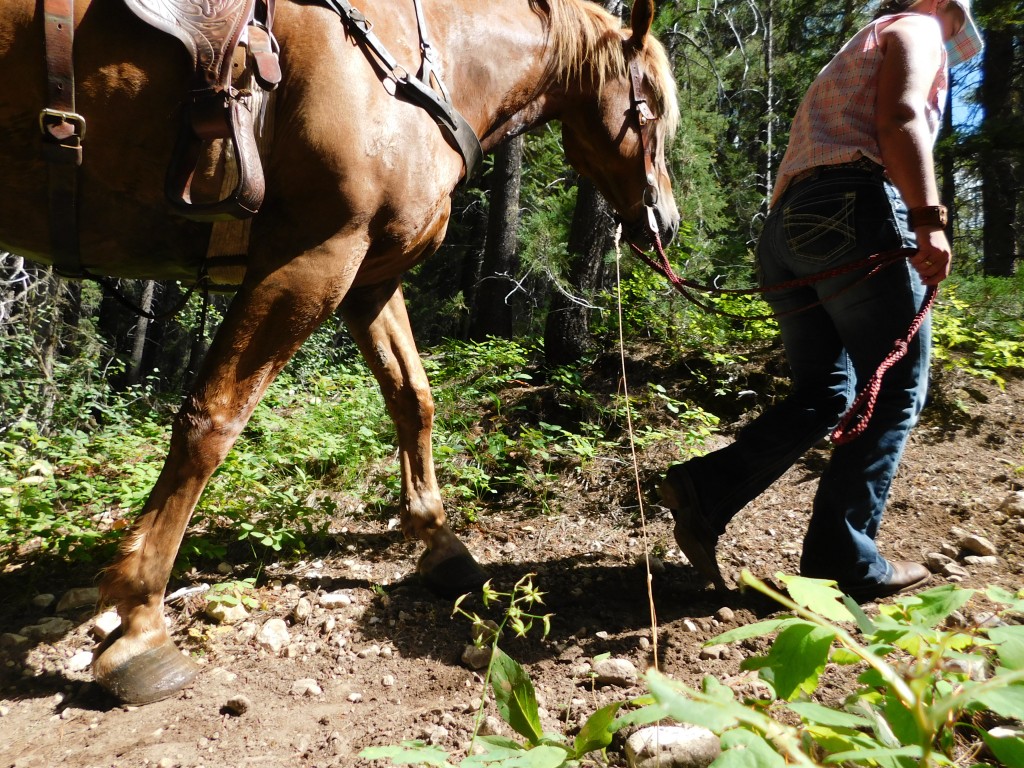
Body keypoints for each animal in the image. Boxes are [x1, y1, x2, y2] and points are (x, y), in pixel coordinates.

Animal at [0, 0, 679, 704]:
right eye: (651, 108)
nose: (667, 221)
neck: (408, 74)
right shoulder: (312, 258)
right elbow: (212, 421)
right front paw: (137, 627)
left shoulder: (367, 278)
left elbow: (413, 399)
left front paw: (441, 544)